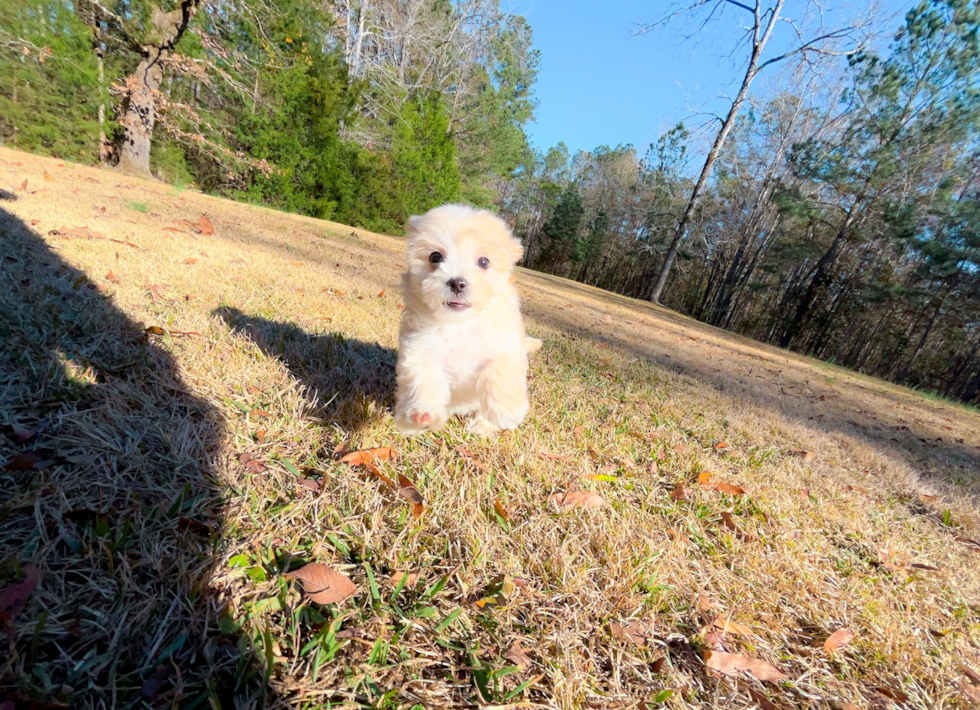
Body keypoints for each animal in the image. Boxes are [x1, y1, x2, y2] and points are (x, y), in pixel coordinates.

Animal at [392, 206, 544, 436]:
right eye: (435, 256)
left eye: (484, 262)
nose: (457, 283)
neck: (460, 324)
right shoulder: (421, 350)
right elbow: (423, 380)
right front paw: (422, 414)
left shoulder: (504, 347)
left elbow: (500, 374)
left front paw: (506, 412)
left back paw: (482, 426)